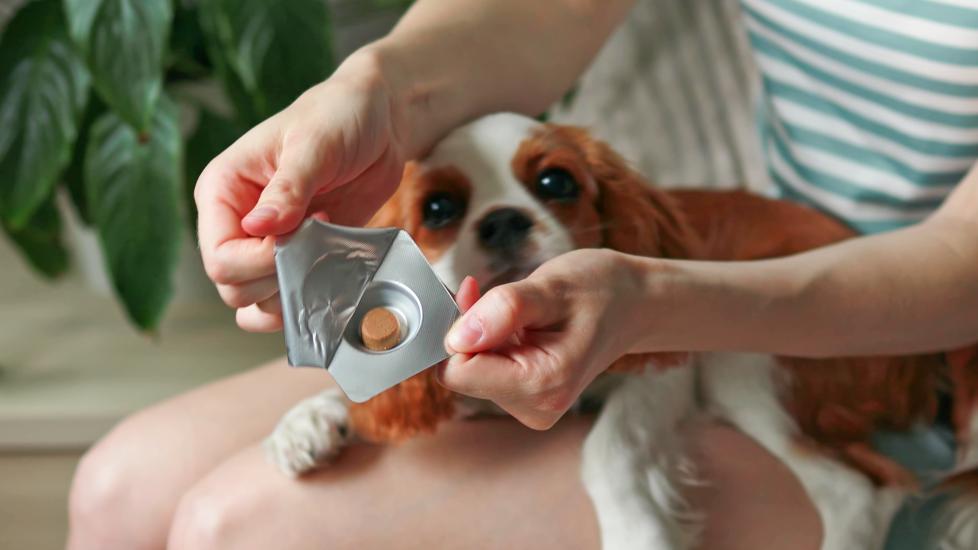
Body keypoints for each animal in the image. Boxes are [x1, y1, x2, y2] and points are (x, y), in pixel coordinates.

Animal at [262, 113, 976, 550]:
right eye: (438, 208)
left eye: (556, 181)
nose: (502, 221)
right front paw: (308, 419)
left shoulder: (666, 370)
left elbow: (606, 448)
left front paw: (639, 533)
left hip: (745, 354)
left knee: (860, 491)